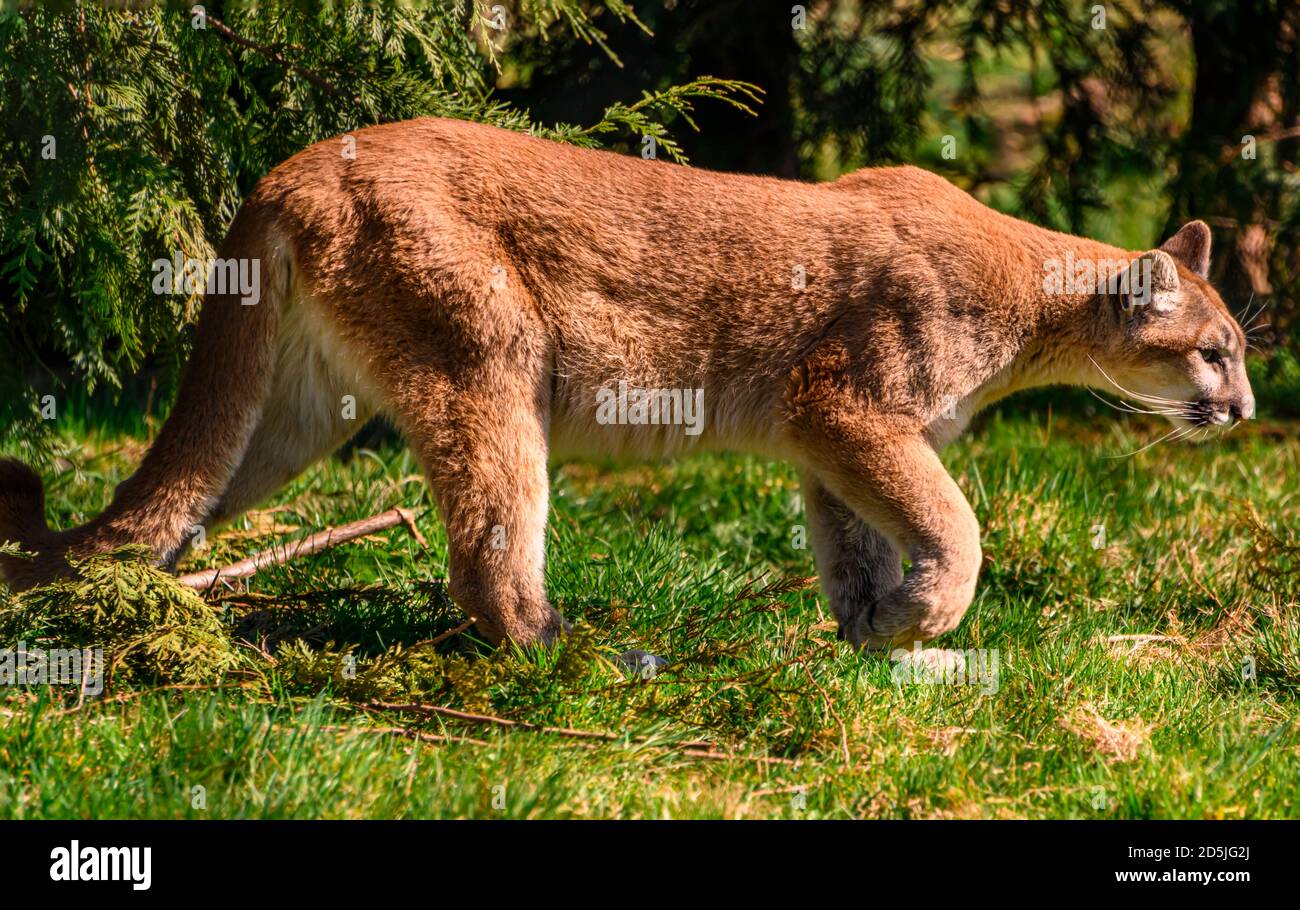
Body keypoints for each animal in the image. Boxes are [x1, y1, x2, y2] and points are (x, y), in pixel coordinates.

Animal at [0, 116, 1258, 650]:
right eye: (1214, 349)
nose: (1245, 409)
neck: (1032, 305)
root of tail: (297, 161)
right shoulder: (846, 406)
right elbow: (955, 523)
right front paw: (927, 615)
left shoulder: (828, 440)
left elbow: (857, 543)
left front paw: (873, 639)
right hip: (489, 364)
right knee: (488, 553)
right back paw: (570, 652)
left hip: (295, 411)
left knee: (173, 498)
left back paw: (109, 606)